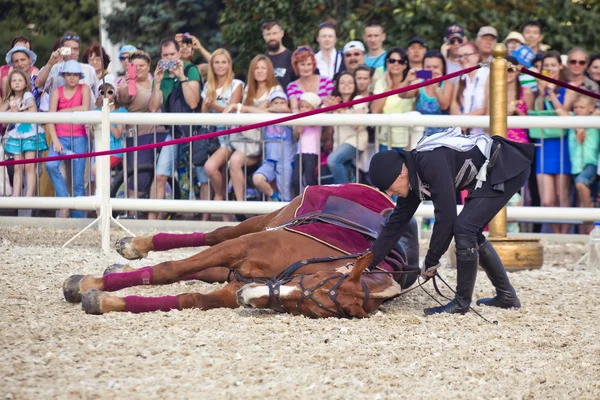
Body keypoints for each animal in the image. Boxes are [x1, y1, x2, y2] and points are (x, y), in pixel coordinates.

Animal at [63, 184, 420, 318]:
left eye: (315, 309)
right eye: (316, 283)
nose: (249, 295)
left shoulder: (236, 285)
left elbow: (190, 297)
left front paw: (105, 300)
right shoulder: (242, 246)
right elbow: (169, 270)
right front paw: (88, 285)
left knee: (208, 272)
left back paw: (119, 269)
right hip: (261, 224)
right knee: (215, 235)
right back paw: (134, 248)